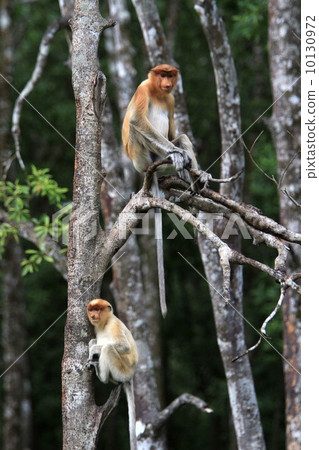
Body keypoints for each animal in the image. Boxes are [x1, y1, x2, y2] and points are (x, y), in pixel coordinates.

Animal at [87, 298, 138, 450]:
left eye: (97, 309)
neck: (104, 324)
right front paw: (92, 346)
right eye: (91, 310)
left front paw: (93, 349)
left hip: (122, 370)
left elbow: (124, 346)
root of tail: (130, 374)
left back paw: (101, 375)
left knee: (108, 348)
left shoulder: (114, 325)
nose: (93, 315)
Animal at [121, 64, 209, 316]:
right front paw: (177, 155)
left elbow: (173, 135)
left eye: (170, 75)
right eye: (162, 74)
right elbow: (137, 121)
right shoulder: (143, 88)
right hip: (140, 156)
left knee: (182, 137)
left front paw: (192, 167)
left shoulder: (170, 99)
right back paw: (175, 158)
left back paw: (195, 179)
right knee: (138, 130)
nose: (167, 82)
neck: (158, 93)